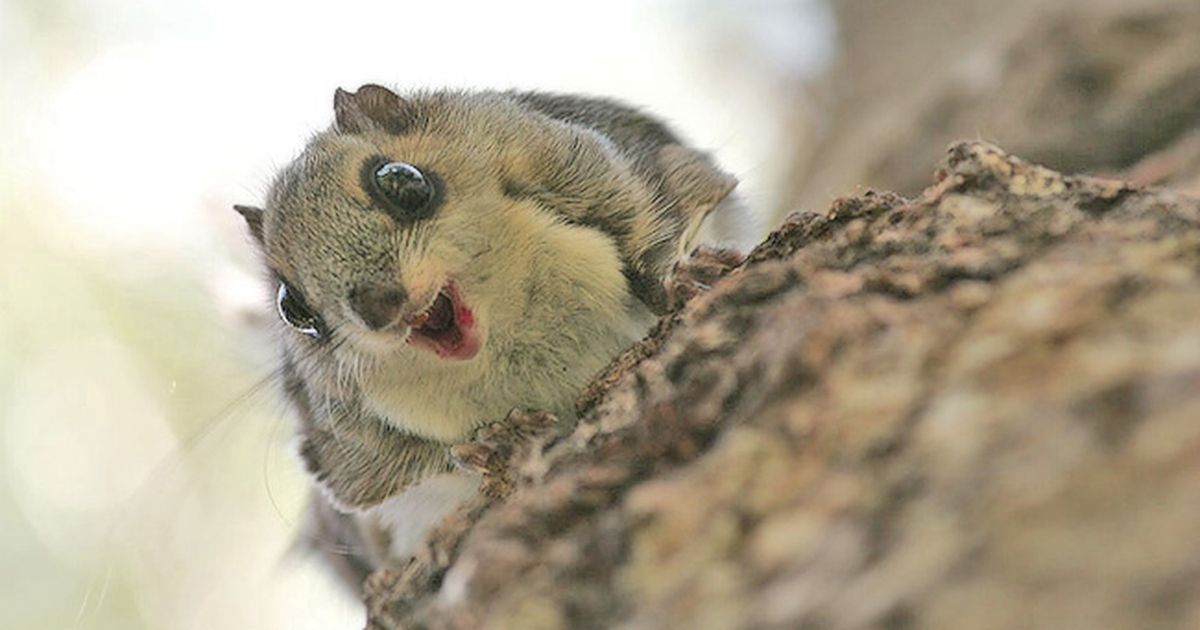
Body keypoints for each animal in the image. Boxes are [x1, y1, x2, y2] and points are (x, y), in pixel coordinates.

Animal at [230, 83, 744, 590]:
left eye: (401, 180)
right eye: (292, 307)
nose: (378, 308)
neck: (508, 335)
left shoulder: (580, 162)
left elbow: (656, 221)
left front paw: (674, 277)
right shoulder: (339, 443)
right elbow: (381, 475)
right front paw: (490, 443)